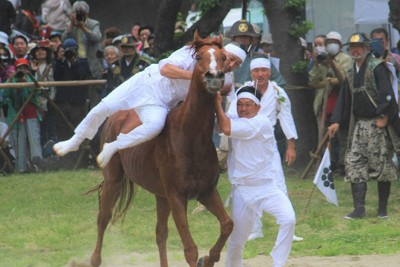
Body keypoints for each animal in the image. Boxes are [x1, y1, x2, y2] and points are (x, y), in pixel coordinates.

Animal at [90, 32, 234, 266]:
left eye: (222, 56)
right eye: (199, 56)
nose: (214, 76)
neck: (190, 138)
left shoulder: (206, 191)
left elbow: (228, 224)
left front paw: (209, 258)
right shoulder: (176, 196)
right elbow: (190, 250)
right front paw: (201, 257)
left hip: (160, 195)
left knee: (160, 234)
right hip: (114, 179)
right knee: (103, 218)